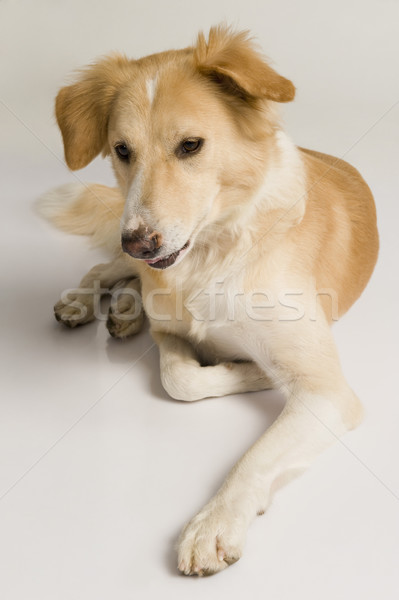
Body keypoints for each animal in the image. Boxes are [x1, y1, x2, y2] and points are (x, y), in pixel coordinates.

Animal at [38, 25, 382, 576]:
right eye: (122, 150)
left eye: (191, 145)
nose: (140, 242)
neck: (214, 253)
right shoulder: (168, 326)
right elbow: (179, 378)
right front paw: (248, 369)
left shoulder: (327, 391)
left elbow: (254, 453)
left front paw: (216, 521)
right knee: (107, 266)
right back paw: (89, 301)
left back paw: (124, 311)